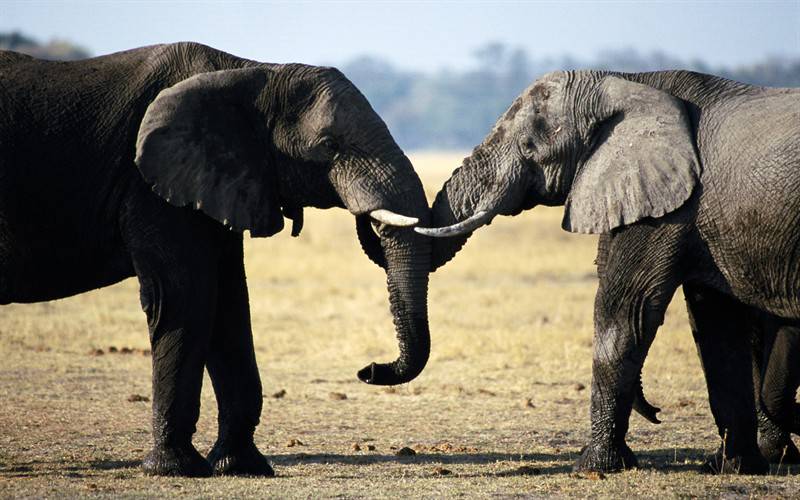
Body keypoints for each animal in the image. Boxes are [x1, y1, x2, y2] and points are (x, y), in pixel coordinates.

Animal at [0, 45, 434, 478]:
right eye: (329, 145)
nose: (369, 369)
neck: (254, 72)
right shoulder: (150, 186)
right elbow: (184, 297)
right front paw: (176, 468)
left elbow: (229, 303)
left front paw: (241, 466)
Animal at [418, 69, 800, 472]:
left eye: (529, 146)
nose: (657, 412)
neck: (627, 82)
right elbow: (717, 328)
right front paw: (730, 467)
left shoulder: (666, 206)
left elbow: (625, 312)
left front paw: (593, 467)